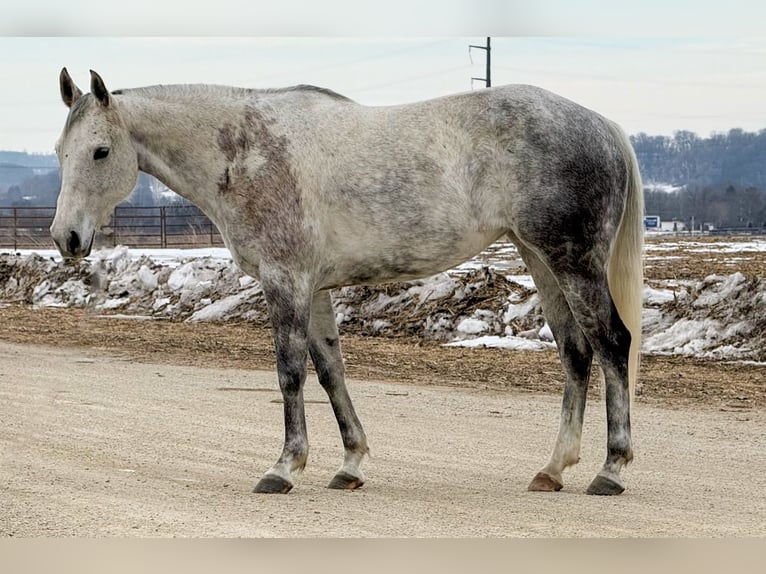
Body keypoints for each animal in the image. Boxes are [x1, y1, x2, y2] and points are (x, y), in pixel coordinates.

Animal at [51, 68, 643, 496]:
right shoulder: (314, 287)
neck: (247, 152)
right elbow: (331, 372)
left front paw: (284, 468)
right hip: (540, 259)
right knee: (576, 353)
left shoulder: (286, 280)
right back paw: (553, 469)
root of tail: (604, 126)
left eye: (101, 151)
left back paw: (611, 470)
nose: (67, 237)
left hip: (573, 263)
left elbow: (290, 373)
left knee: (613, 344)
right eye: (60, 152)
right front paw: (350, 464)